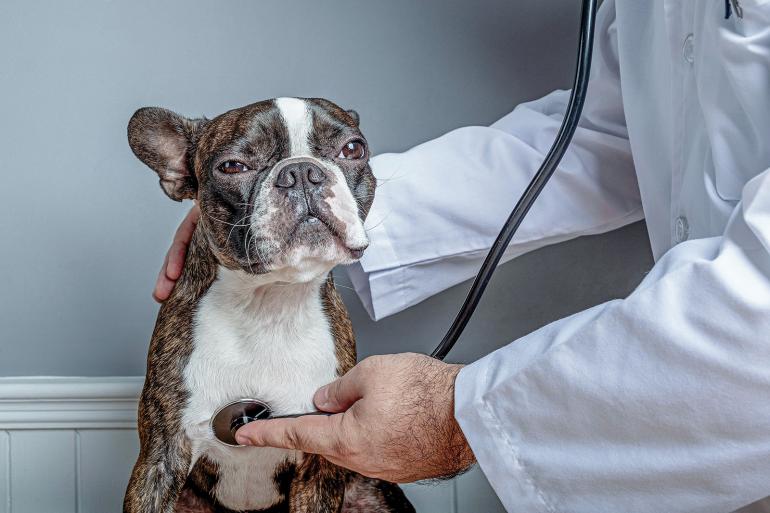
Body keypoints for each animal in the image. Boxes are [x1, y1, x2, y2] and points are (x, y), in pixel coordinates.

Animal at [124, 97, 414, 512]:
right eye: (233, 166)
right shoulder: (160, 459)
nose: (301, 172)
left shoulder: (319, 464)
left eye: (353, 149)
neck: (270, 302)